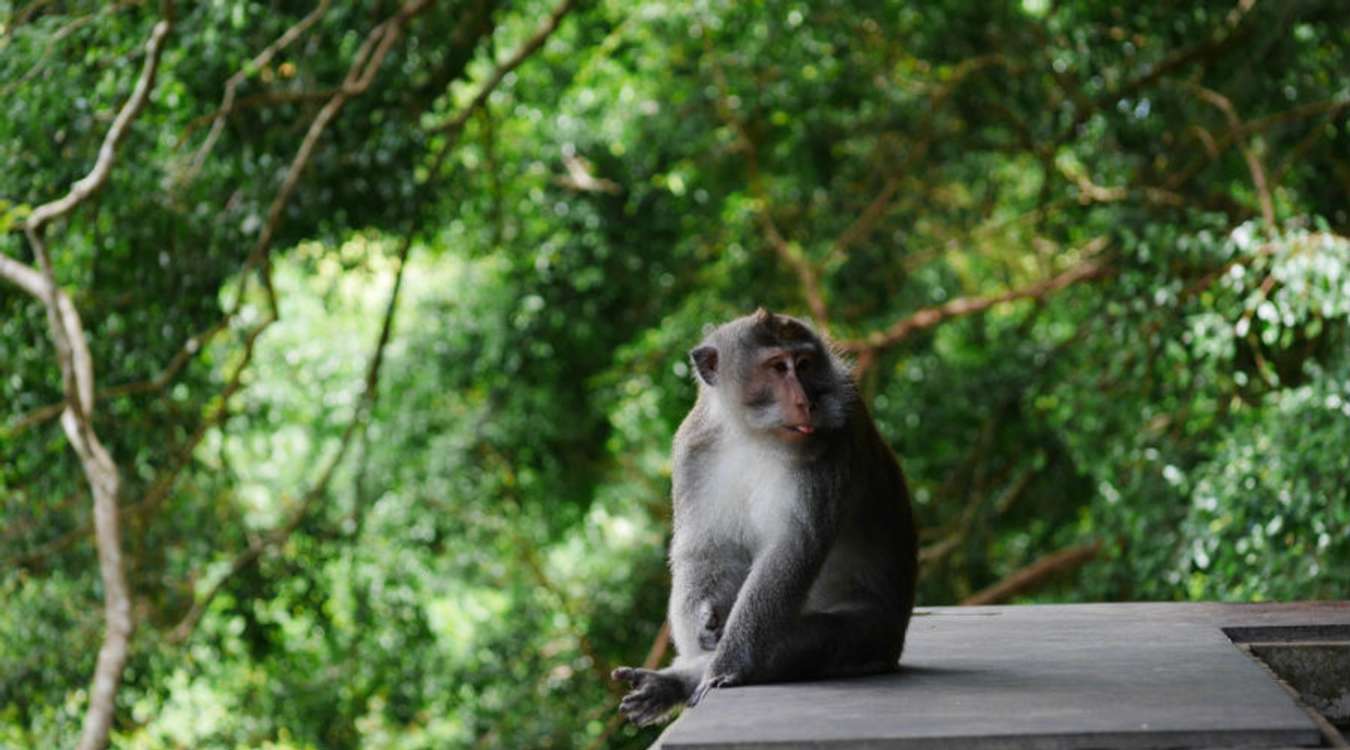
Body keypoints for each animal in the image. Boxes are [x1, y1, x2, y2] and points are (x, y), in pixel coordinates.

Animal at [612, 307, 918, 723]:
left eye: (803, 364)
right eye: (777, 367)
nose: (806, 401)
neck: (753, 435)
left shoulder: (831, 441)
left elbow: (792, 550)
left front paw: (724, 666)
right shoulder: (693, 446)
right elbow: (705, 548)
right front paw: (706, 619)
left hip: (872, 635)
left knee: (805, 641)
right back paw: (670, 682)